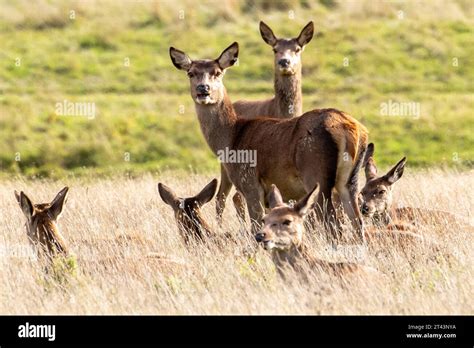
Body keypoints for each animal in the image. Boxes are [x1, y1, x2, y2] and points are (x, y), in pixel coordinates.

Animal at [168, 41, 368, 242]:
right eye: (191, 72)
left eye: (217, 72)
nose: (203, 89)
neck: (232, 138)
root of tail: (350, 129)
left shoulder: (250, 183)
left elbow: (255, 225)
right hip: (350, 180)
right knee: (357, 223)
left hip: (315, 174)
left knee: (333, 224)